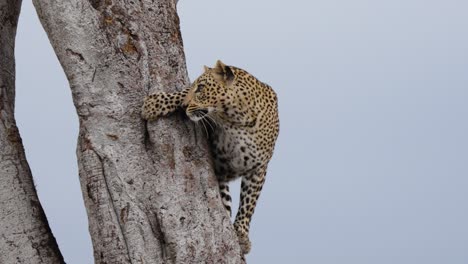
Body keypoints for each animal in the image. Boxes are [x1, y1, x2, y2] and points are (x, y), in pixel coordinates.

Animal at [142, 59, 278, 254]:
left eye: (201, 88)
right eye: (194, 86)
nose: (184, 106)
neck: (236, 119)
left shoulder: (258, 168)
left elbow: (248, 203)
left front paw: (242, 234)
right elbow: (181, 92)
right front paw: (155, 104)